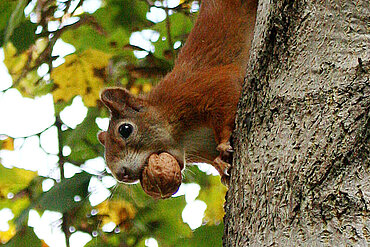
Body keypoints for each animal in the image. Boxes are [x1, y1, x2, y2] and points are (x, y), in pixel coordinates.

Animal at [97, 0, 258, 185]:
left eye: (125, 129)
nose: (121, 174)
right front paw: (220, 164)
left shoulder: (202, 87)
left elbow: (225, 100)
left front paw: (224, 143)